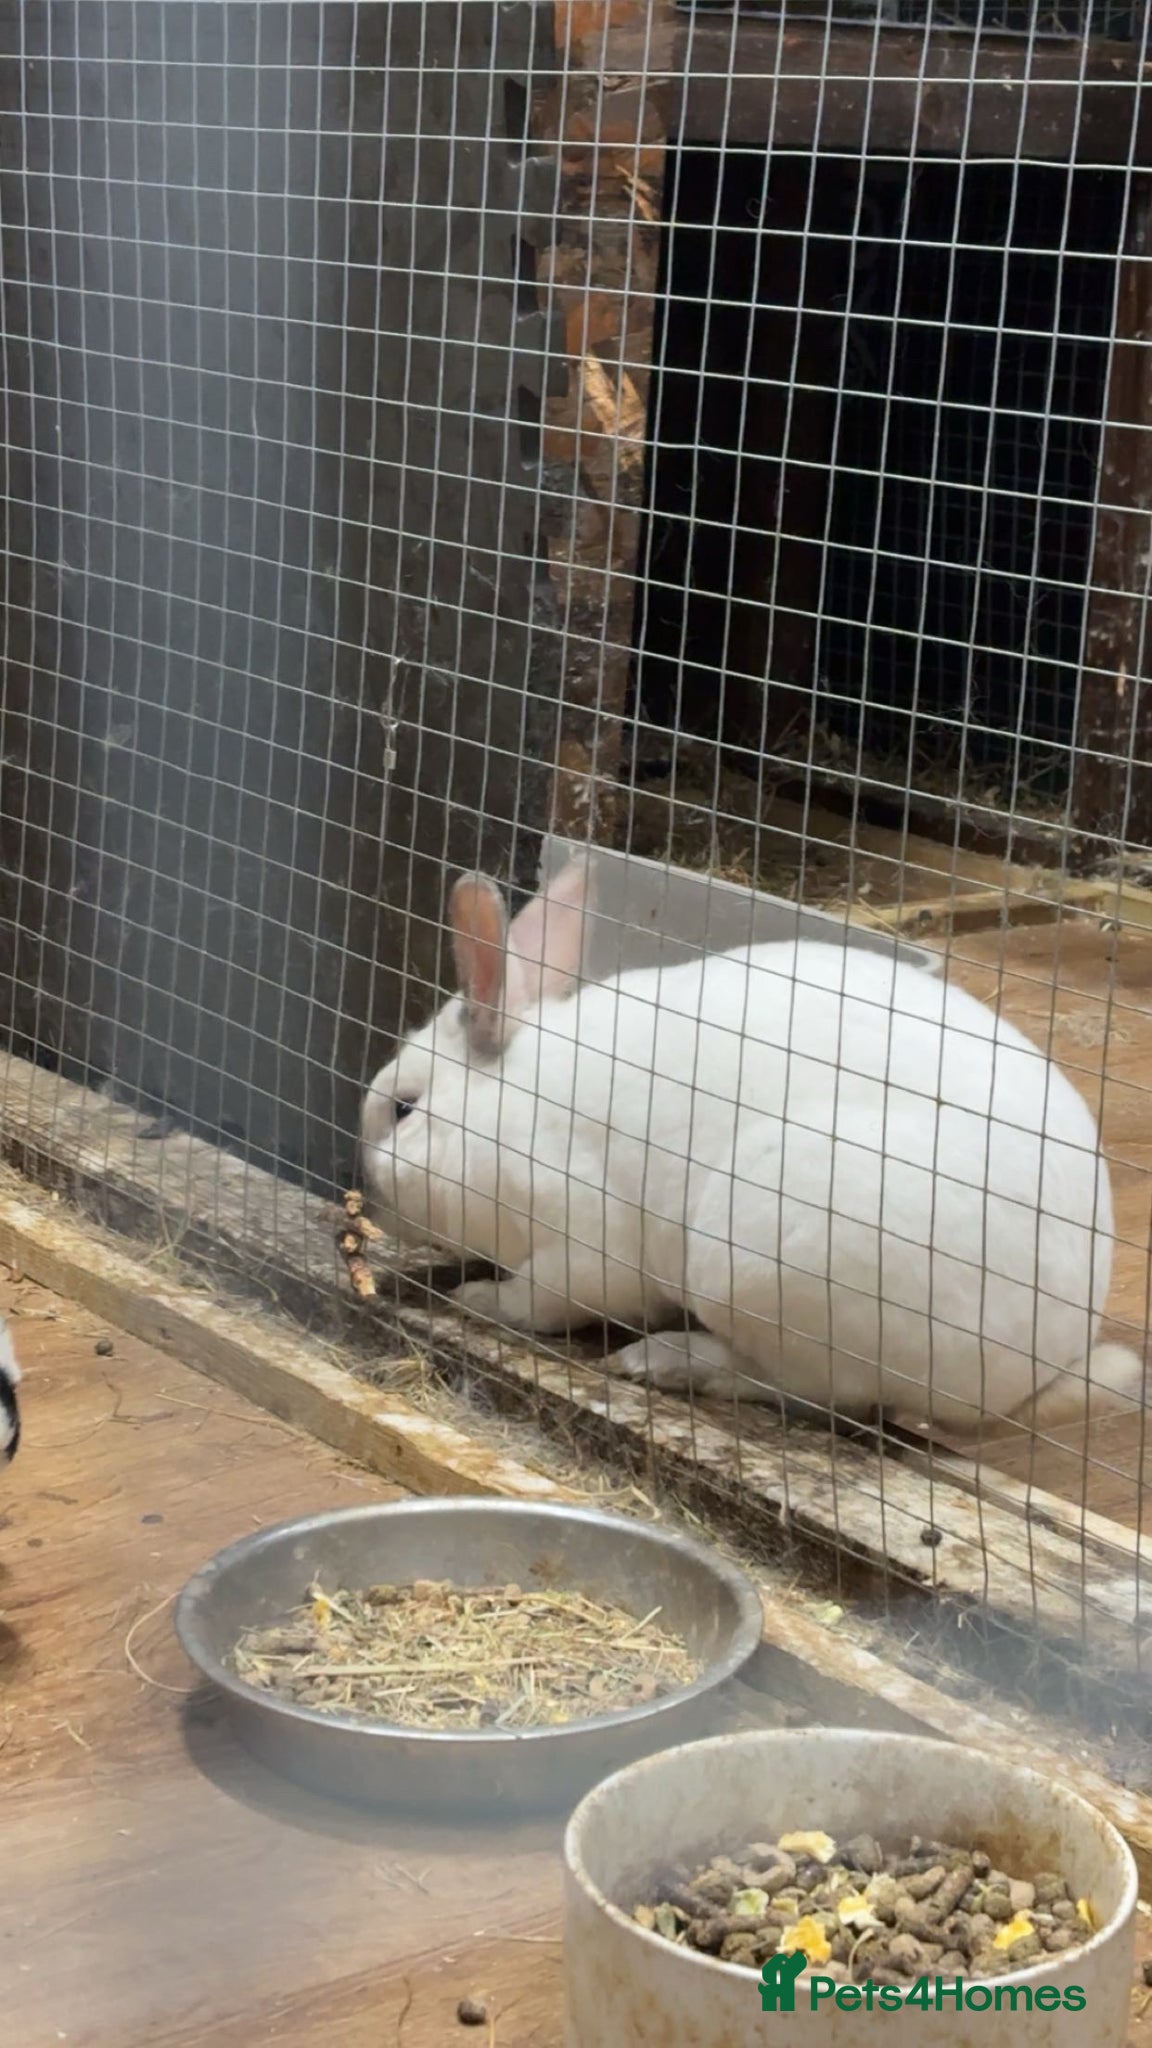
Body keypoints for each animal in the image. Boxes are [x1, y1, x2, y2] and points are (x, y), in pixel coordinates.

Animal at [360, 859, 1145, 1437]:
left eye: (404, 1109)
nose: (369, 1194)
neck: (505, 1105)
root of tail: (1040, 1363)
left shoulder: (582, 1241)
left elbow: (541, 1300)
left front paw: (478, 1298)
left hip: (760, 1263)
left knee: (819, 1394)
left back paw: (667, 1360)